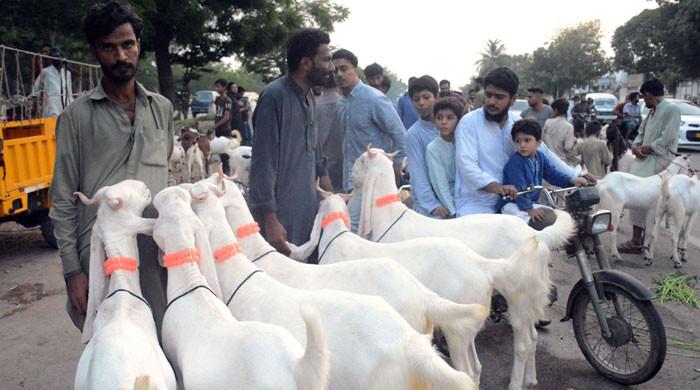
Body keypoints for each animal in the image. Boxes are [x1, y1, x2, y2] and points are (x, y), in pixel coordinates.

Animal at [350, 148, 576, 388]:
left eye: (360, 161)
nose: (351, 177)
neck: (390, 217)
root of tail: (536, 235)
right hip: (529, 294)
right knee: (532, 336)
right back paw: (531, 379)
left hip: (518, 292)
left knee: (523, 342)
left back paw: (515, 383)